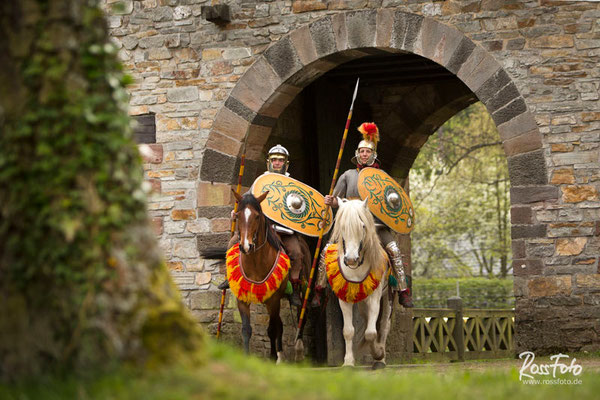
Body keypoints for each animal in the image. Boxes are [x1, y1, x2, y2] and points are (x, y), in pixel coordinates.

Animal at [324, 198, 394, 370]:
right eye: (342, 226)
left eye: (362, 226)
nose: (350, 259)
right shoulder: (344, 298)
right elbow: (349, 331)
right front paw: (348, 362)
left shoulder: (374, 298)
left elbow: (371, 332)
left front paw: (378, 353)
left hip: (387, 296)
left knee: (383, 326)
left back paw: (381, 359)